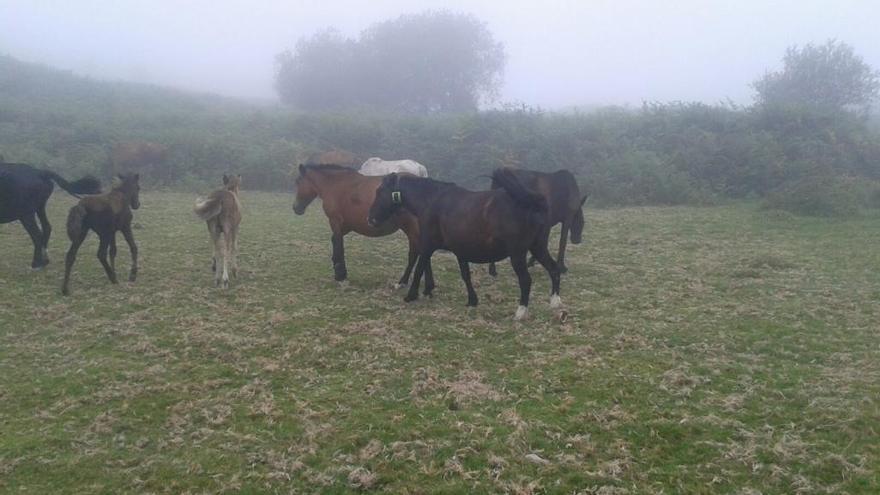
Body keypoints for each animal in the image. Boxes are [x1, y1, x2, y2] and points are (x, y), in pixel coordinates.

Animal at [292, 165, 434, 292]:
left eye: (298, 181)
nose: (296, 208)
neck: (334, 184)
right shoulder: (346, 226)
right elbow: (335, 241)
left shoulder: (335, 221)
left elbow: (338, 244)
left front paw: (341, 277)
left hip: (410, 228)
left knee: (415, 253)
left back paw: (402, 283)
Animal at [366, 168, 560, 322]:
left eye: (379, 190)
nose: (371, 219)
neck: (432, 199)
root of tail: (532, 201)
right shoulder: (461, 251)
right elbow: (466, 275)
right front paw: (472, 300)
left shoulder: (427, 245)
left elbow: (420, 267)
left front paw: (411, 295)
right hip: (538, 247)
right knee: (554, 269)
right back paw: (556, 302)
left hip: (518, 253)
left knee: (526, 280)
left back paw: (520, 312)